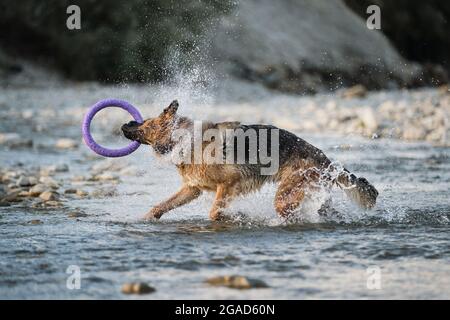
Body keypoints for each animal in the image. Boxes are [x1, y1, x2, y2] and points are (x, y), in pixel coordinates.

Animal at [121, 100, 378, 220]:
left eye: (145, 123)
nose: (125, 124)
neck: (186, 141)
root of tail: (323, 157)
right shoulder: (192, 189)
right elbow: (161, 205)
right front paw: (145, 218)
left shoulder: (228, 184)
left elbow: (215, 211)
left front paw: (235, 216)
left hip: (284, 196)